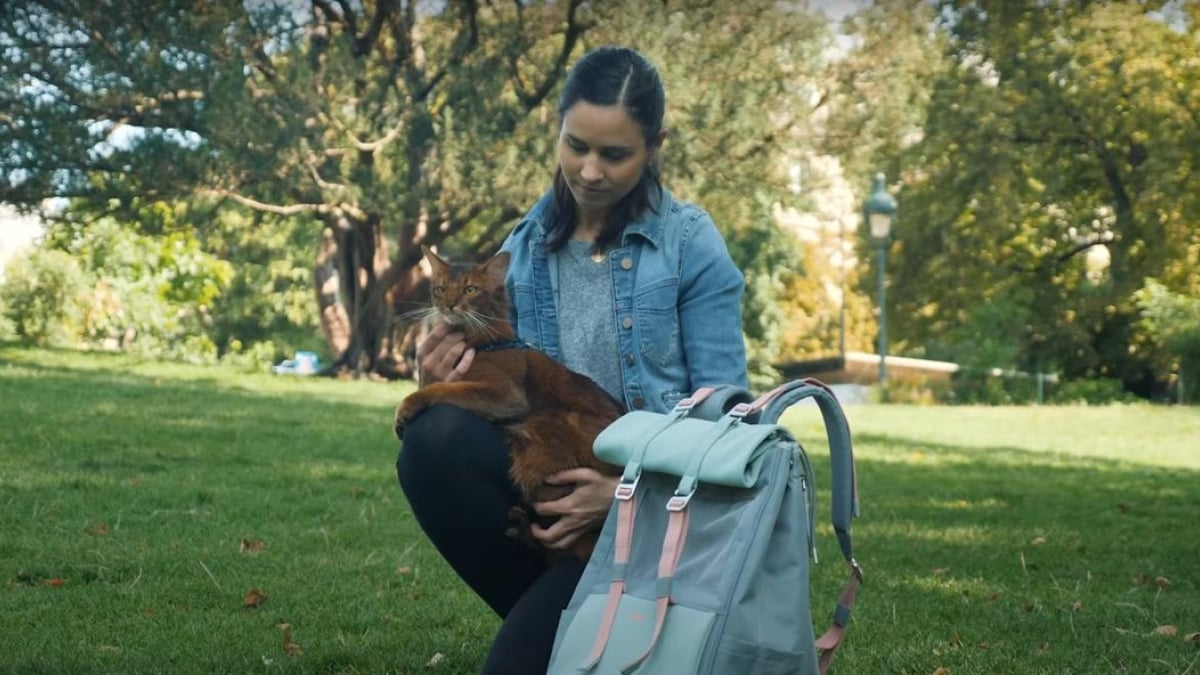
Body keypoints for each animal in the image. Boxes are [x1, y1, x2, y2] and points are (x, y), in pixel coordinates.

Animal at [396, 243, 628, 559]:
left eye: (470, 290)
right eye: (440, 289)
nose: (450, 306)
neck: (479, 340)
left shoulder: (506, 396)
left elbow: (443, 389)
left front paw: (406, 408)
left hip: (543, 440)